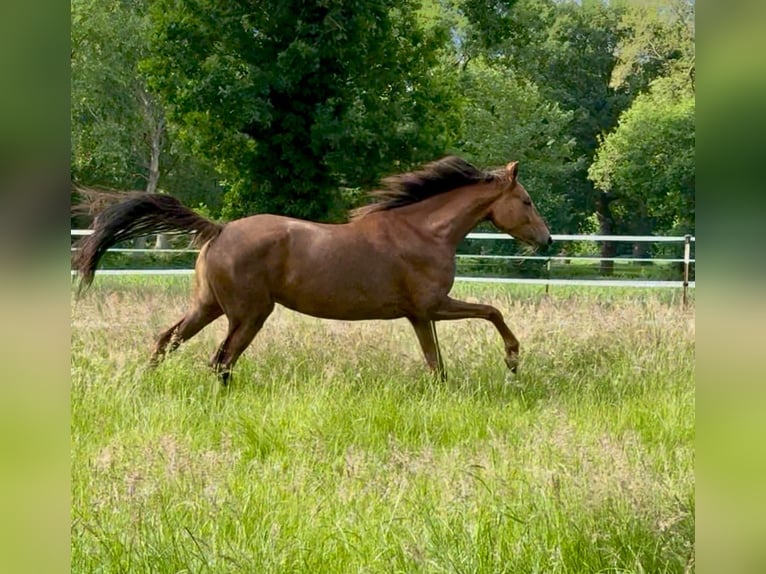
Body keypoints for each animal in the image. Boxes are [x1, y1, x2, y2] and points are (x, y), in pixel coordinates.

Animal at [72, 156, 552, 383]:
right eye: (526, 201)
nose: (546, 240)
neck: (425, 231)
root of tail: (219, 229)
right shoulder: (433, 306)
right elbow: (492, 312)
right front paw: (512, 360)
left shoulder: (420, 316)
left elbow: (436, 364)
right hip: (248, 314)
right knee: (220, 360)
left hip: (209, 307)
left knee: (167, 340)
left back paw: (145, 382)